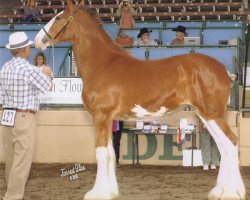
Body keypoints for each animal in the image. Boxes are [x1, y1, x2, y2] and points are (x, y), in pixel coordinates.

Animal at [34, 0, 246, 199]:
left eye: (59, 17)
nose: (38, 40)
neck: (101, 64)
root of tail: (224, 71)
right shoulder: (109, 120)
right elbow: (110, 153)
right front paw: (111, 192)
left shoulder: (101, 116)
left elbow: (101, 153)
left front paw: (97, 193)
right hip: (206, 115)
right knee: (224, 147)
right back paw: (219, 191)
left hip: (212, 115)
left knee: (231, 143)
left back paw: (232, 192)